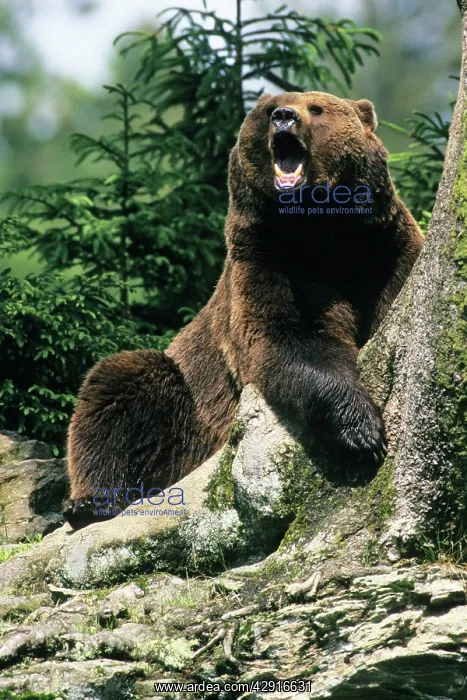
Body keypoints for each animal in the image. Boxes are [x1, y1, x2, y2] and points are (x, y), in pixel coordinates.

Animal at [63, 91, 423, 529]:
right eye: (269, 111)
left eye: (317, 108)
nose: (284, 117)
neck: (322, 235)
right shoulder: (269, 262)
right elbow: (287, 340)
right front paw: (362, 430)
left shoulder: (386, 251)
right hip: (189, 415)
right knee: (121, 385)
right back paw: (88, 503)